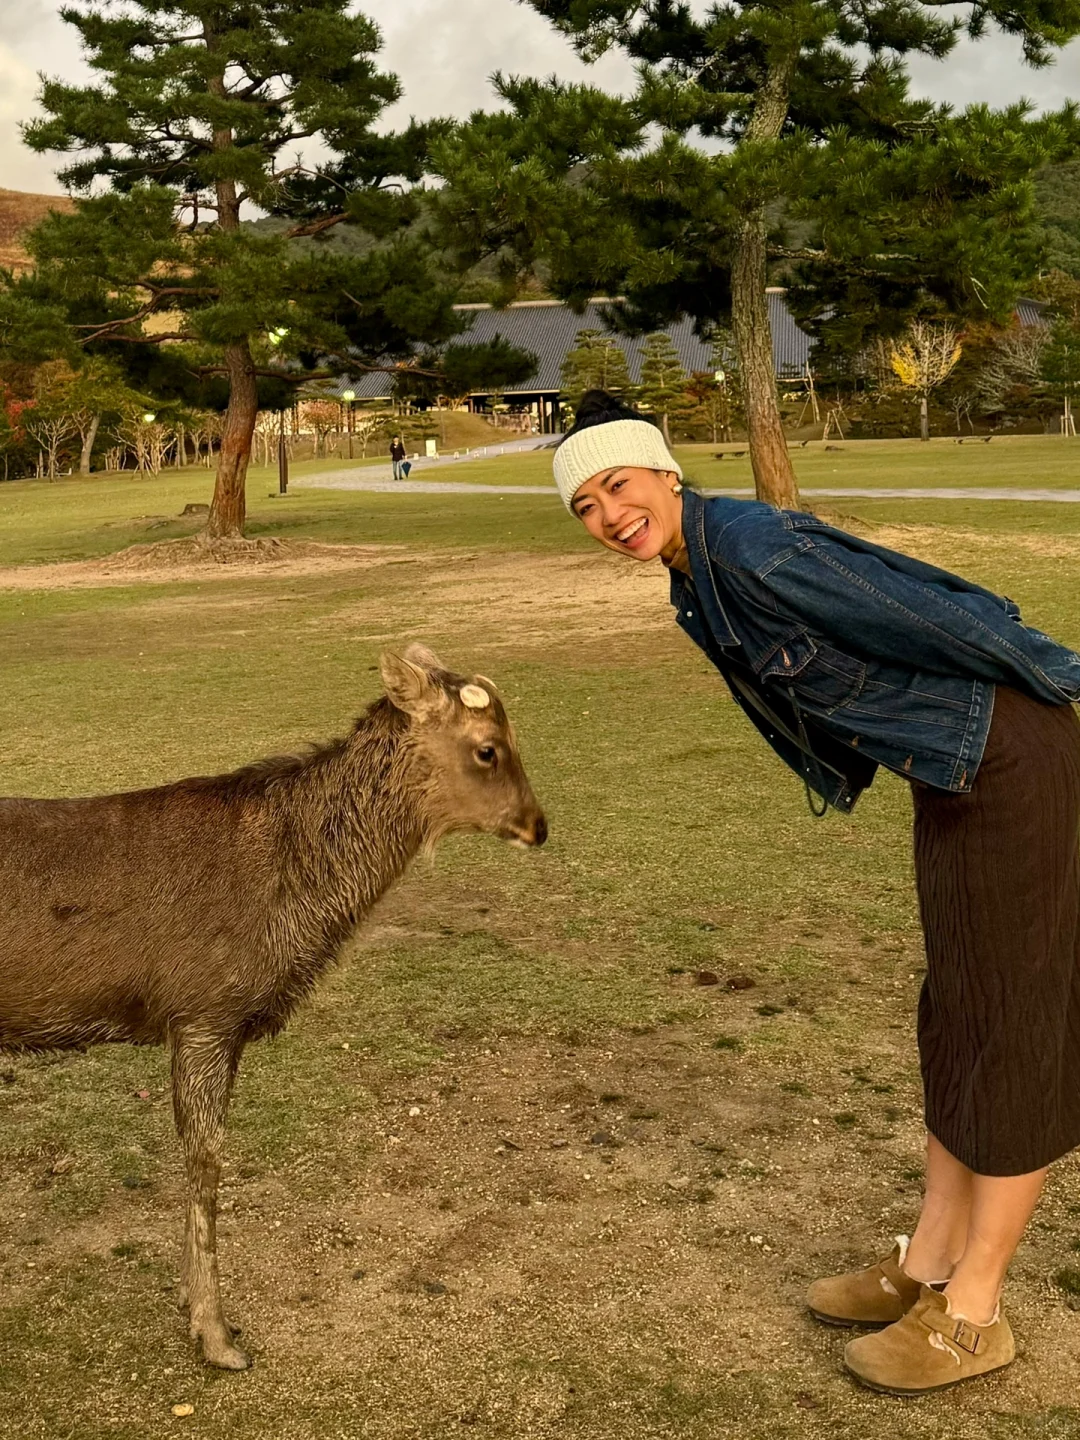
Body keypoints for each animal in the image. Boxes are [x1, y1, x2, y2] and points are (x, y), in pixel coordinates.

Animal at [2, 648, 550, 1365]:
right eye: (489, 749)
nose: (540, 825)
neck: (290, 914)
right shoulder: (204, 1009)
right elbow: (205, 1161)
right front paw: (216, 1334)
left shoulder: (214, 1024)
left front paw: (194, 1308)